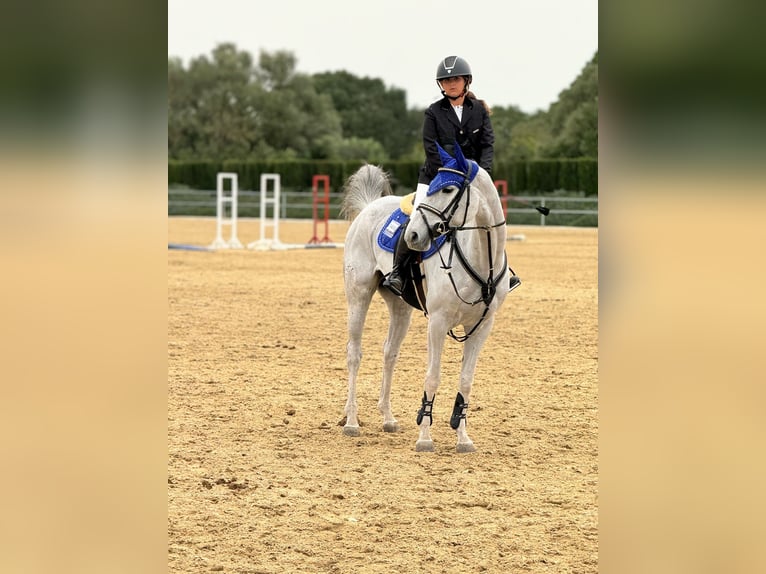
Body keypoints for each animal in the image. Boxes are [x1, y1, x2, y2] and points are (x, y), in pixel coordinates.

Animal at [342, 144, 516, 454]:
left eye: (448, 188)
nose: (412, 235)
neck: (482, 258)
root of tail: (370, 207)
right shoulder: (438, 322)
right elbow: (432, 376)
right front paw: (424, 437)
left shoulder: (482, 327)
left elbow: (466, 381)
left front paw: (463, 439)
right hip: (358, 295)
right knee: (355, 354)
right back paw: (351, 421)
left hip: (400, 306)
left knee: (390, 353)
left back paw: (388, 418)